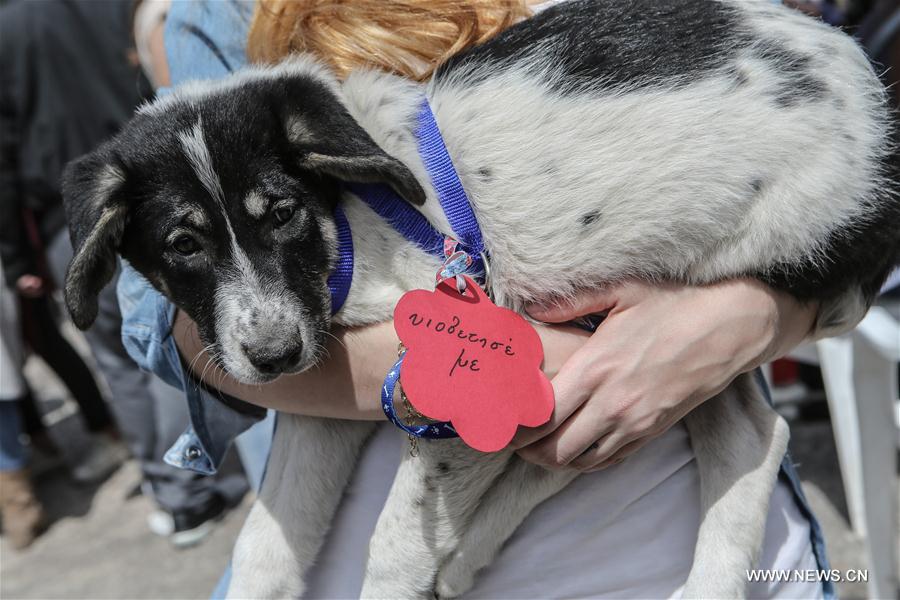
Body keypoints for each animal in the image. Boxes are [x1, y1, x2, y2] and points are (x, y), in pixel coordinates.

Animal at [61, 2, 892, 596]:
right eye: (183, 246)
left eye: (283, 212)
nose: (271, 356)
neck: (349, 221)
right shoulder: (320, 389)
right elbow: (268, 546)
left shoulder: (453, 378)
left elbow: (394, 545)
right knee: (740, 437)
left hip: (750, 262)